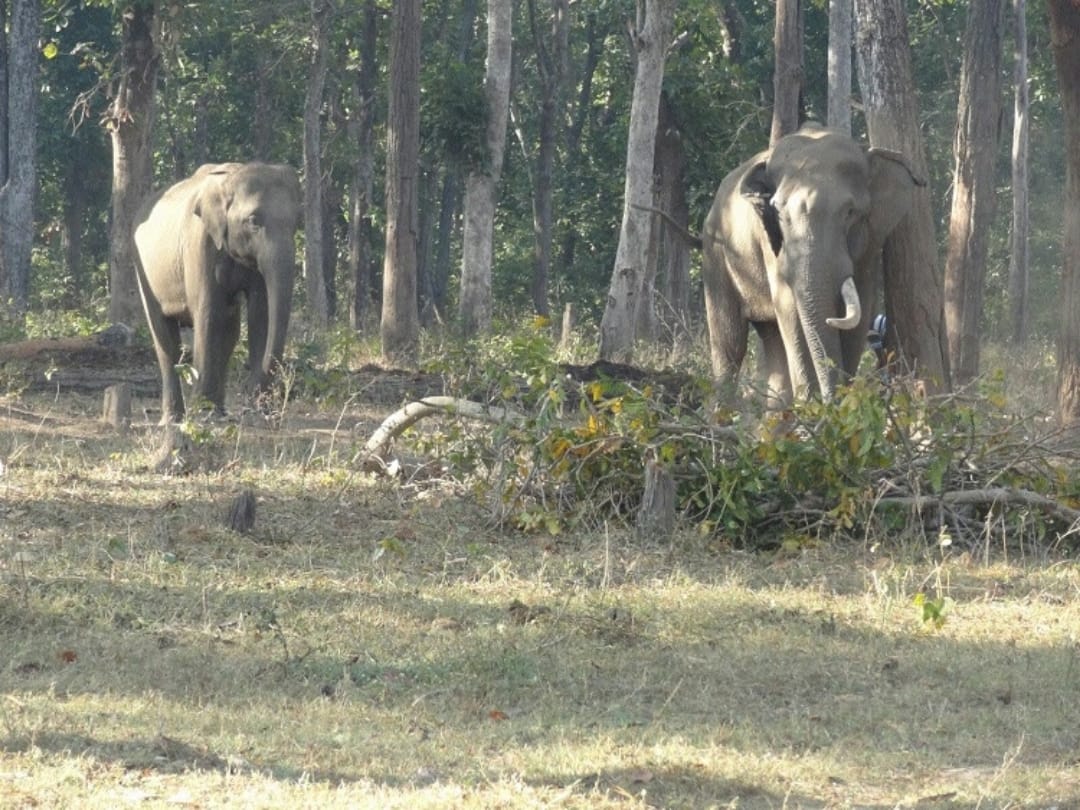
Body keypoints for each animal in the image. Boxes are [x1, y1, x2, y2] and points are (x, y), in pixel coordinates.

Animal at [134, 162, 302, 423]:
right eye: (254, 220)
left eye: (297, 222)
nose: (251, 395)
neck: (231, 177)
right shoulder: (198, 244)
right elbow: (209, 314)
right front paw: (203, 413)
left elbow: (260, 316)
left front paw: (259, 414)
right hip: (143, 270)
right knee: (164, 336)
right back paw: (173, 419)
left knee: (230, 331)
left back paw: (218, 411)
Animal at [701, 122, 923, 407]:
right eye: (778, 213)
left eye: (850, 212)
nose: (831, 401)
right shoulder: (770, 240)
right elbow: (790, 310)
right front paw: (815, 408)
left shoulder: (870, 245)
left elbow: (861, 310)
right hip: (716, 256)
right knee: (729, 344)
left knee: (773, 345)